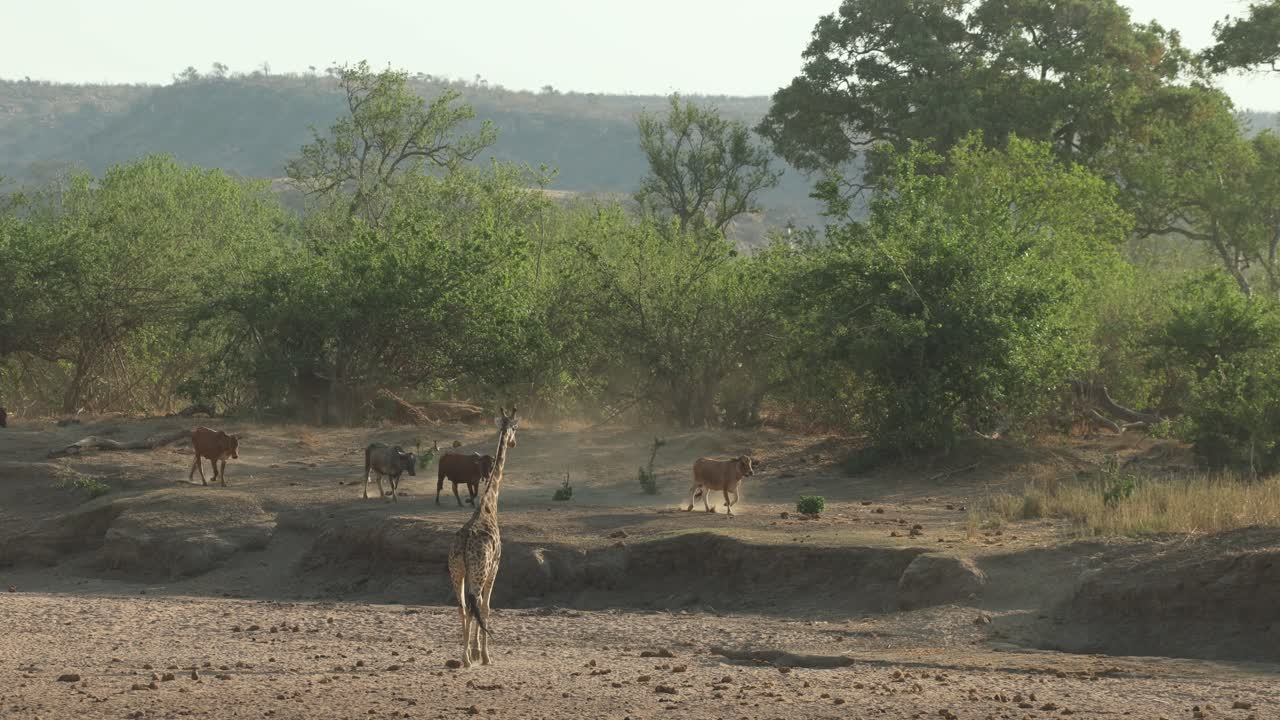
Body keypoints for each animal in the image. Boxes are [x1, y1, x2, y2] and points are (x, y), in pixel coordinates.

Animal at [447, 405, 519, 667]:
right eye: (514, 428)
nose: (513, 443)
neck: (489, 506)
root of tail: (465, 543)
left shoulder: (470, 572)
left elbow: (475, 607)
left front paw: (476, 651)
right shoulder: (495, 566)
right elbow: (487, 607)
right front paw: (484, 655)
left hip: (457, 571)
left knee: (461, 606)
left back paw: (465, 657)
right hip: (478, 572)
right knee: (474, 605)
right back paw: (469, 658)